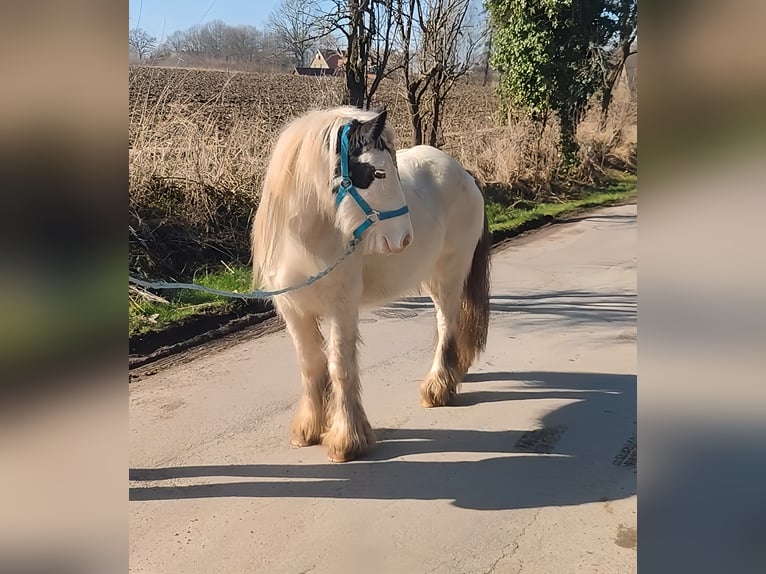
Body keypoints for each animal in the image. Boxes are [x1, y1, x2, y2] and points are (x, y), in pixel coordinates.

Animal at [252, 107, 492, 464]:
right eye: (379, 173)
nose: (403, 239)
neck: (306, 240)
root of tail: (463, 172)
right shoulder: (294, 310)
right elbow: (311, 365)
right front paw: (308, 430)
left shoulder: (342, 308)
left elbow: (340, 366)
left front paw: (348, 439)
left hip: (448, 273)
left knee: (447, 323)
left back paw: (438, 387)